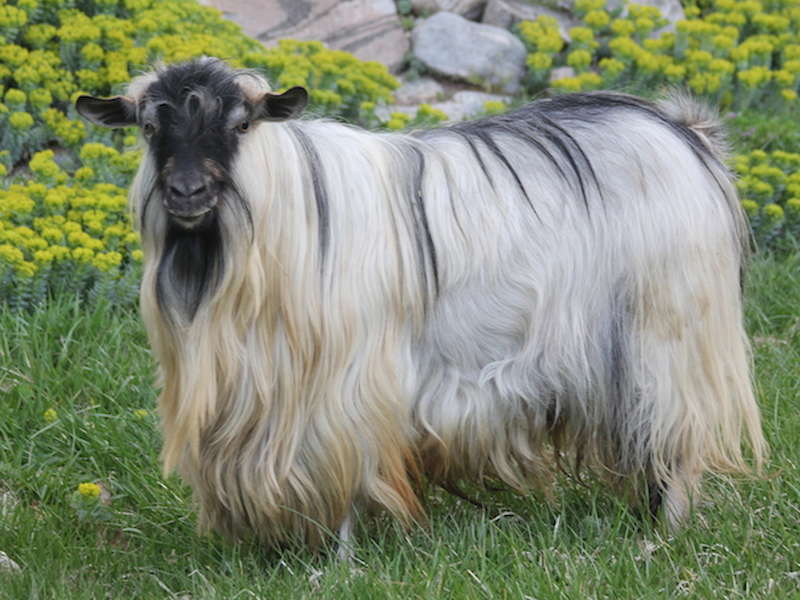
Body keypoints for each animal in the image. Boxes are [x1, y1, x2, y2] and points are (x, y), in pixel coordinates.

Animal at [77, 57, 765, 550]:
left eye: (241, 124)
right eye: (149, 128)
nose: (186, 192)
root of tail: (687, 133)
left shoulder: (343, 393)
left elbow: (348, 470)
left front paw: (340, 558)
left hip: (671, 336)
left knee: (675, 439)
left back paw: (664, 533)